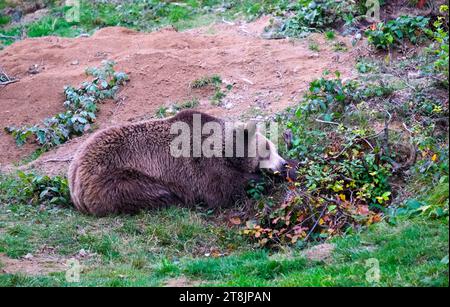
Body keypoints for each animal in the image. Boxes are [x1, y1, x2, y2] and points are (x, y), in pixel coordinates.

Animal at [68, 110, 286, 217]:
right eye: (267, 148)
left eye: (274, 147)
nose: (282, 164)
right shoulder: (201, 167)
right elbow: (224, 190)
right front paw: (261, 180)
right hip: (114, 177)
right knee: (147, 192)